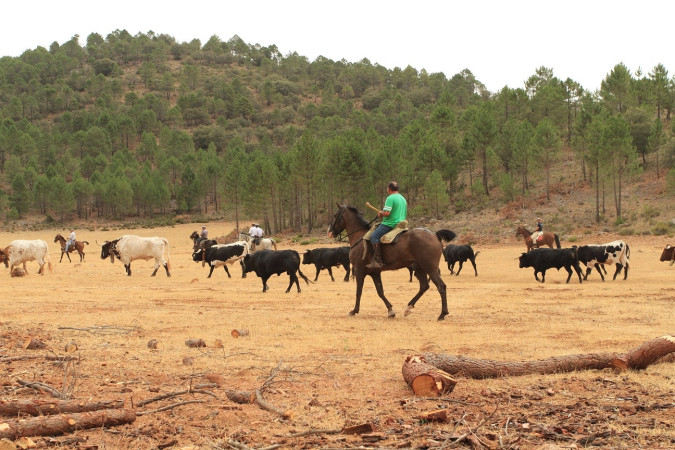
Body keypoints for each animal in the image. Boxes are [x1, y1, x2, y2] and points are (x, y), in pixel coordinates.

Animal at [326, 204, 454, 320]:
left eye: (335, 215)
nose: (330, 232)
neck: (359, 237)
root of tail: (435, 235)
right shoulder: (375, 273)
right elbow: (380, 292)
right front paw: (390, 311)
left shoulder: (359, 270)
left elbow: (359, 291)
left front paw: (354, 311)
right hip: (420, 269)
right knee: (424, 286)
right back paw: (408, 307)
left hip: (430, 269)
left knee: (441, 286)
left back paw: (442, 314)